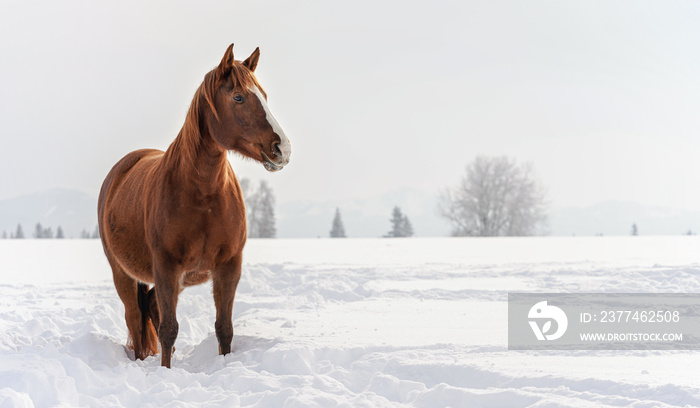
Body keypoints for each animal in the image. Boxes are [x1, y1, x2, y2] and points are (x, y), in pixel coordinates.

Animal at [98, 43, 290, 368]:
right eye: (238, 97)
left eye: (264, 96)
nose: (282, 149)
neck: (204, 196)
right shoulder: (166, 266)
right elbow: (168, 329)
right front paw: (165, 371)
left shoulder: (229, 266)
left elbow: (224, 328)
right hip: (123, 273)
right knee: (135, 319)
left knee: (150, 306)